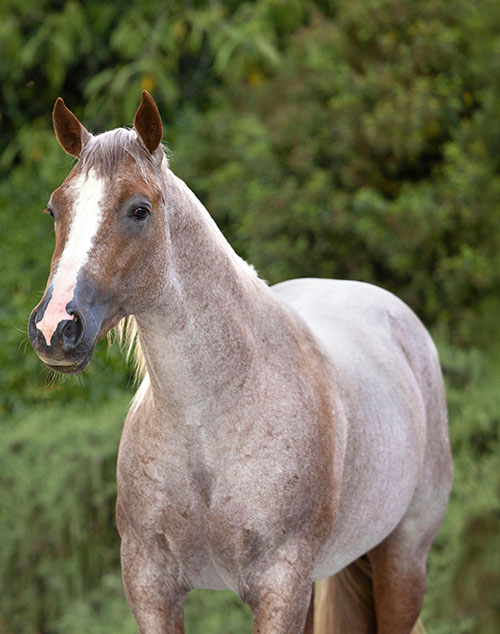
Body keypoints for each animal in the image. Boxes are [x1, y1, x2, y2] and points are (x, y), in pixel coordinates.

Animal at [28, 90, 454, 632]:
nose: (55, 328)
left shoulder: (281, 587)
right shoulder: (150, 585)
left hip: (402, 561)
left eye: (139, 210)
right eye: (54, 210)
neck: (208, 418)